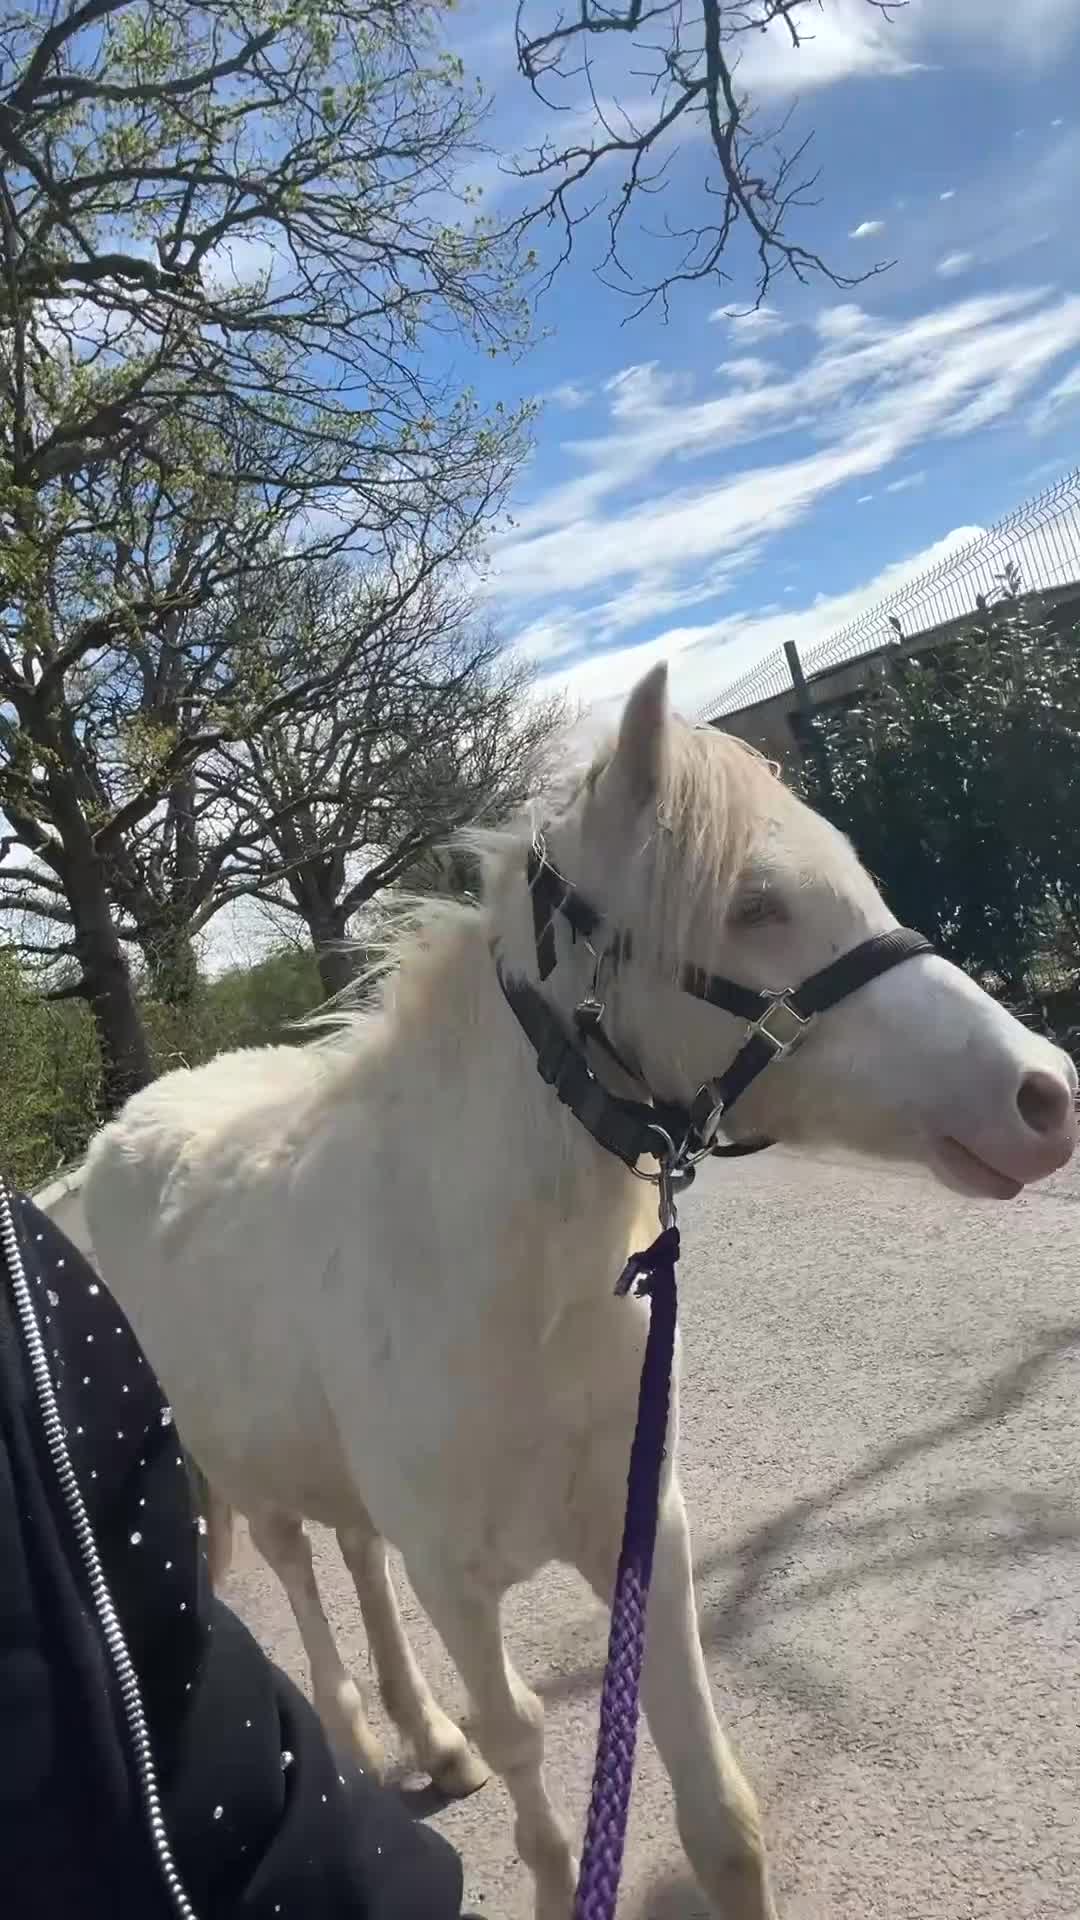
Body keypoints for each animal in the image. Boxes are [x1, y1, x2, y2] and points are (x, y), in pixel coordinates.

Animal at [83, 663, 1077, 1920]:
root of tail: (122, 1130)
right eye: (754, 904)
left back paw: (430, 1738)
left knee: (354, 1559)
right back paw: (363, 1739)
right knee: (301, 1575)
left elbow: (720, 1822)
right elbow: (524, 1747)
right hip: (251, 1479)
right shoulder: (457, 1583)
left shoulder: (642, 1533)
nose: (1047, 1093)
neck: (498, 1290)